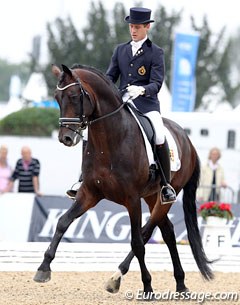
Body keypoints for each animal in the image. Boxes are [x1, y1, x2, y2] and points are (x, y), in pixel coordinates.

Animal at [33, 63, 212, 294]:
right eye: (56, 97)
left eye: (73, 96)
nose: (66, 138)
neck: (109, 141)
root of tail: (188, 140)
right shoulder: (89, 193)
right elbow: (63, 222)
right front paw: (43, 268)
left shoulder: (132, 199)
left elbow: (137, 241)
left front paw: (148, 287)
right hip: (152, 196)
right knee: (168, 232)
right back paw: (179, 283)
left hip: (167, 195)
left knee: (147, 233)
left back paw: (119, 277)